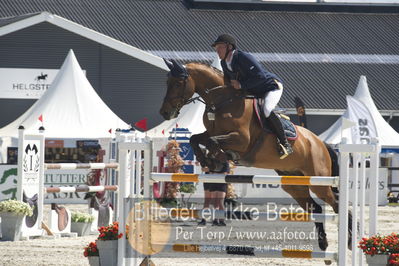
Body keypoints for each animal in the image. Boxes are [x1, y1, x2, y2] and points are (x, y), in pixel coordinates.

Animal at [159, 59, 354, 251]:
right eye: (167, 82)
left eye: (178, 83)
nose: (165, 112)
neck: (222, 101)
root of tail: (320, 142)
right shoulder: (211, 133)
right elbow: (196, 139)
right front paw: (207, 160)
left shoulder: (241, 140)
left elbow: (214, 143)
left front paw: (217, 160)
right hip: (294, 184)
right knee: (316, 209)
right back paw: (323, 242)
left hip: (319, 181)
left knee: (336, 204)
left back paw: (350, 240)